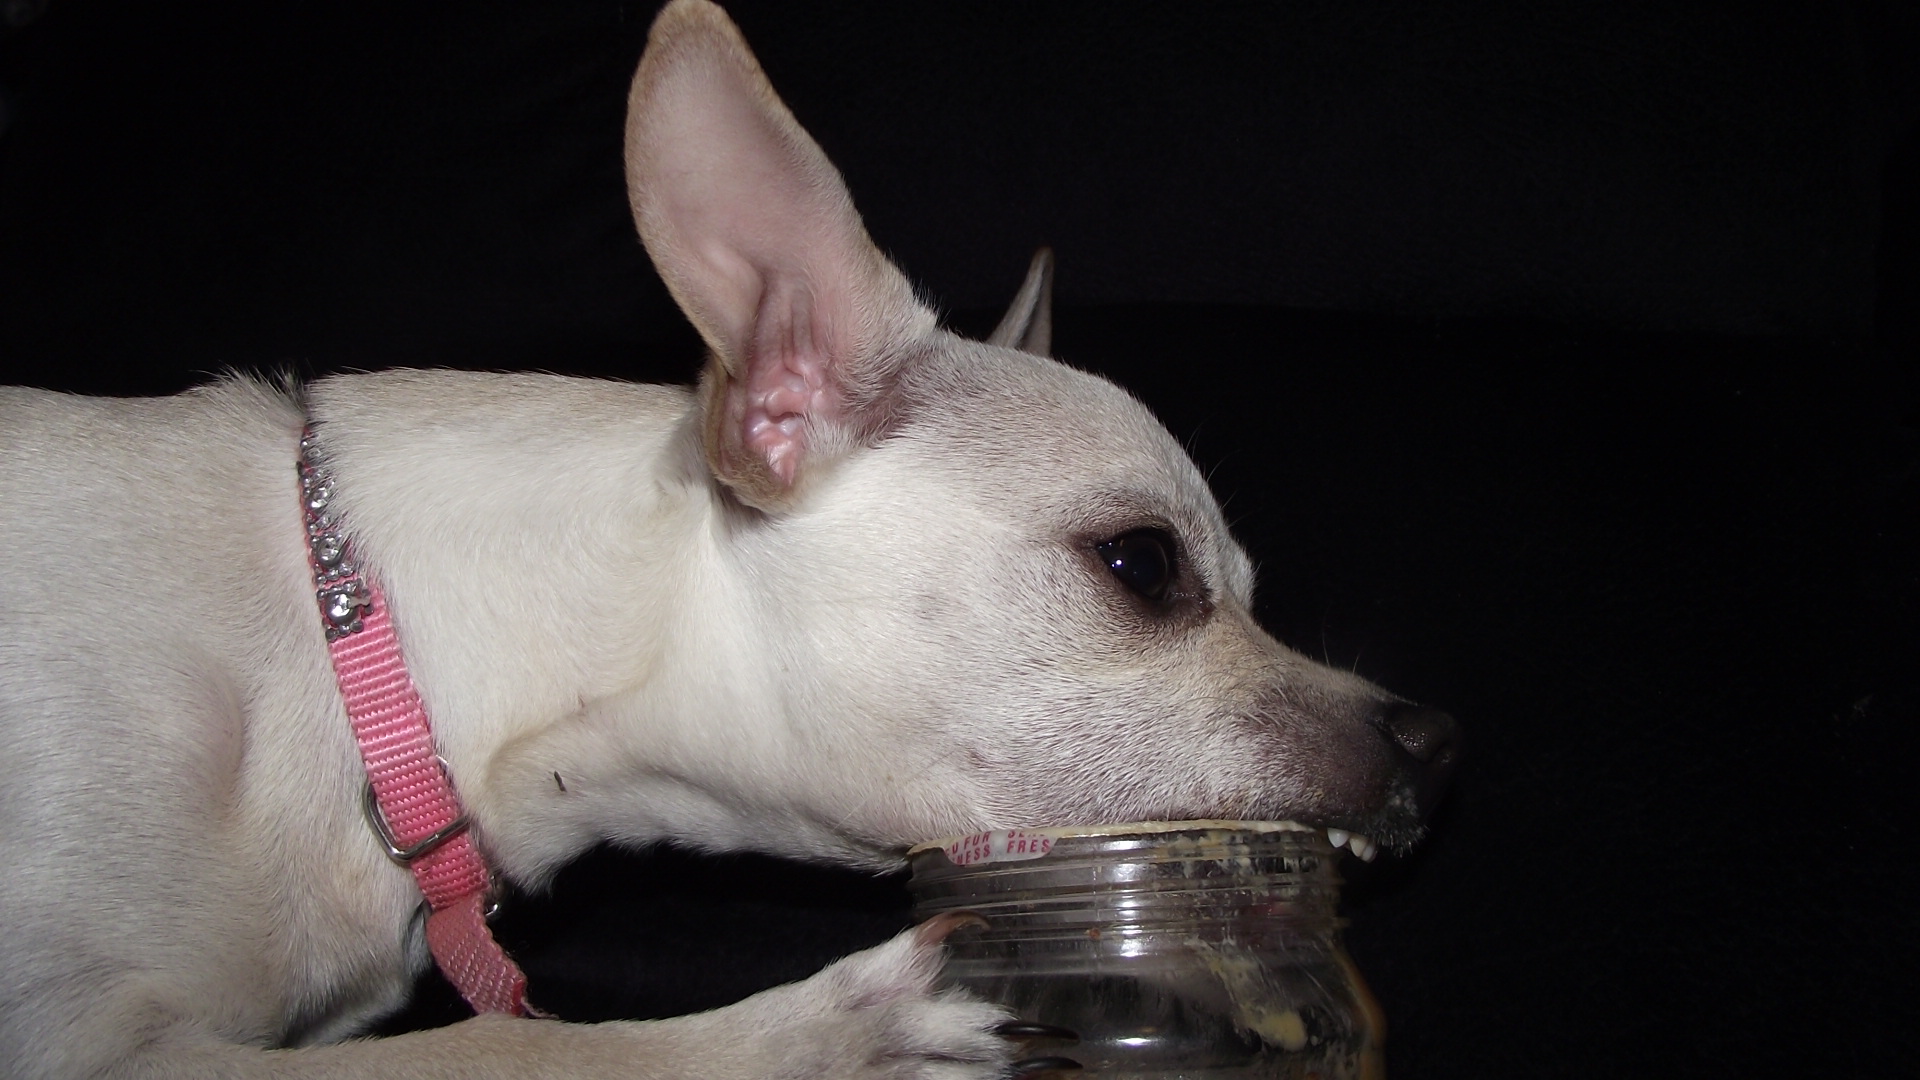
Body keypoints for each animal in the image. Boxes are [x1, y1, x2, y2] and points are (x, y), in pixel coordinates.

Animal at [0, 1, 1457, 1076]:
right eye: (1144, 566)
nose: (1433, 738)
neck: (364, 663)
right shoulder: (98, 1045)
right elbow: (530, 1052)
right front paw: (838, 1022)